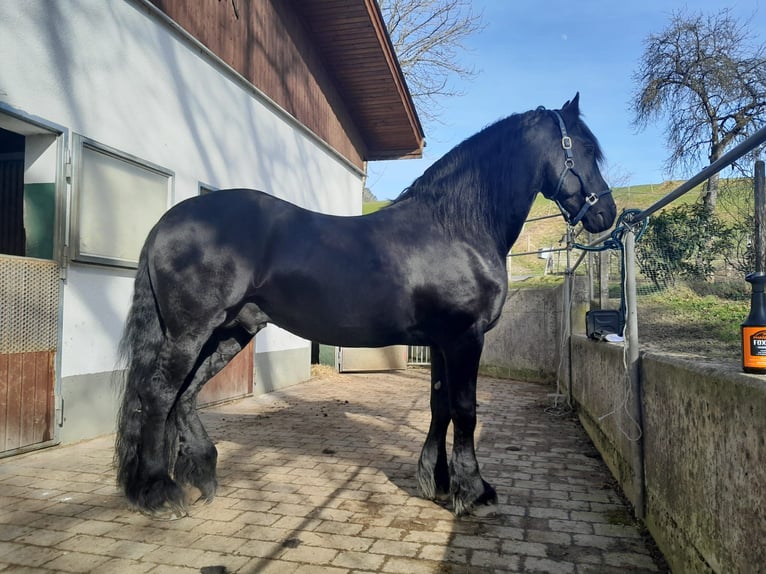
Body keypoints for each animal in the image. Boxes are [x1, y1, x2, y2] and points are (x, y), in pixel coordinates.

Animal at [115, 93, 617, 518]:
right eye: (584, 148)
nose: (605, 215)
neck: (456, 227)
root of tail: (167, 221)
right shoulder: (464, 337)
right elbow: (466, 409)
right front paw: (473, 491)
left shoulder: (441, 342)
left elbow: (439, 406)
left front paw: (434, 482)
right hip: (192, 331)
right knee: (160, 394)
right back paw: (159, 492)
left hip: (229, 332)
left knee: (185, 395)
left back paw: (200, 473)